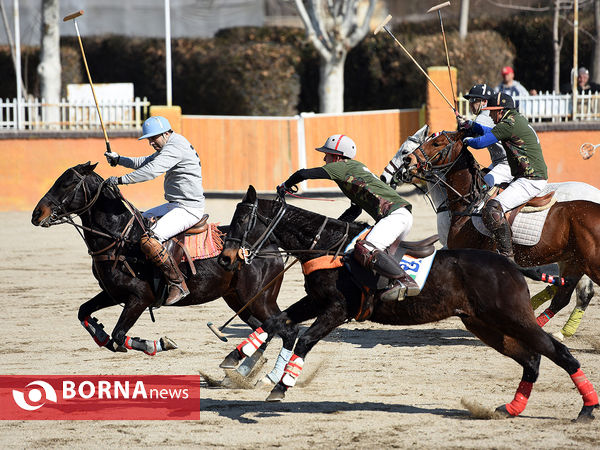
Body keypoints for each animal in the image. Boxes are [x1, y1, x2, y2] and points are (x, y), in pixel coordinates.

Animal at [31, 163, 284, 364]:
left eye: (68, 183)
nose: (36, 214)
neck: (120, 241)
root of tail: (269, 244)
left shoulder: (139, 299)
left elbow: (119, 335)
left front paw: (160, 343)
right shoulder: (113, 293)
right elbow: (86, 313)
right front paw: (100, 334)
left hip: (261, 299)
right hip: (237, 299)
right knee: (264, 329)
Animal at [219, 185, 600, 422]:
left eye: (243, 219)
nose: (225, 259)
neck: (329, 245)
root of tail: (510, 264)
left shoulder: (338, 309)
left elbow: (304, 339)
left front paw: (281, 386)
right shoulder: (316, 300)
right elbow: (276, 322)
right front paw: (236, 360)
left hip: (513, 317)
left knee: (557, 353)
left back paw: (586, 408)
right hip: (486, 325)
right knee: (532, 359)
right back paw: (511, 408)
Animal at [386, 126, 596, 338]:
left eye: (436, 143)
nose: (385, 176)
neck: (470, 203)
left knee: (580, 293)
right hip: (570, 258)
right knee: (568, 291)